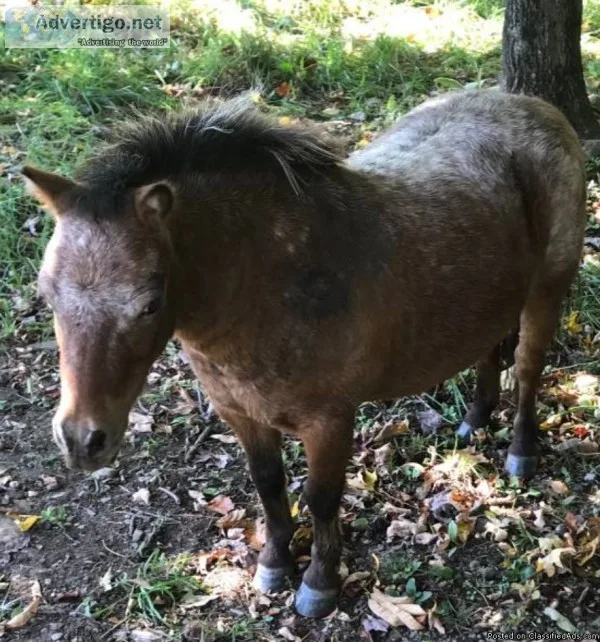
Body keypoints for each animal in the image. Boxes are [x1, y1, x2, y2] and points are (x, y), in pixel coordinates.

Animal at [23, 88, 586, 618]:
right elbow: (268, 485)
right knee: (491, 350)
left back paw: (520, 451)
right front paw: (274, 565)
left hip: (547, 290)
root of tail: (533, 105)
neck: (272, 281)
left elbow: (320, 498)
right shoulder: (240, 413)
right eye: (46, 292)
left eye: (149, 303)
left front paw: (319, 583)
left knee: (528, 370)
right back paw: (474, 419)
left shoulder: (329, 422)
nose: (81, 439)